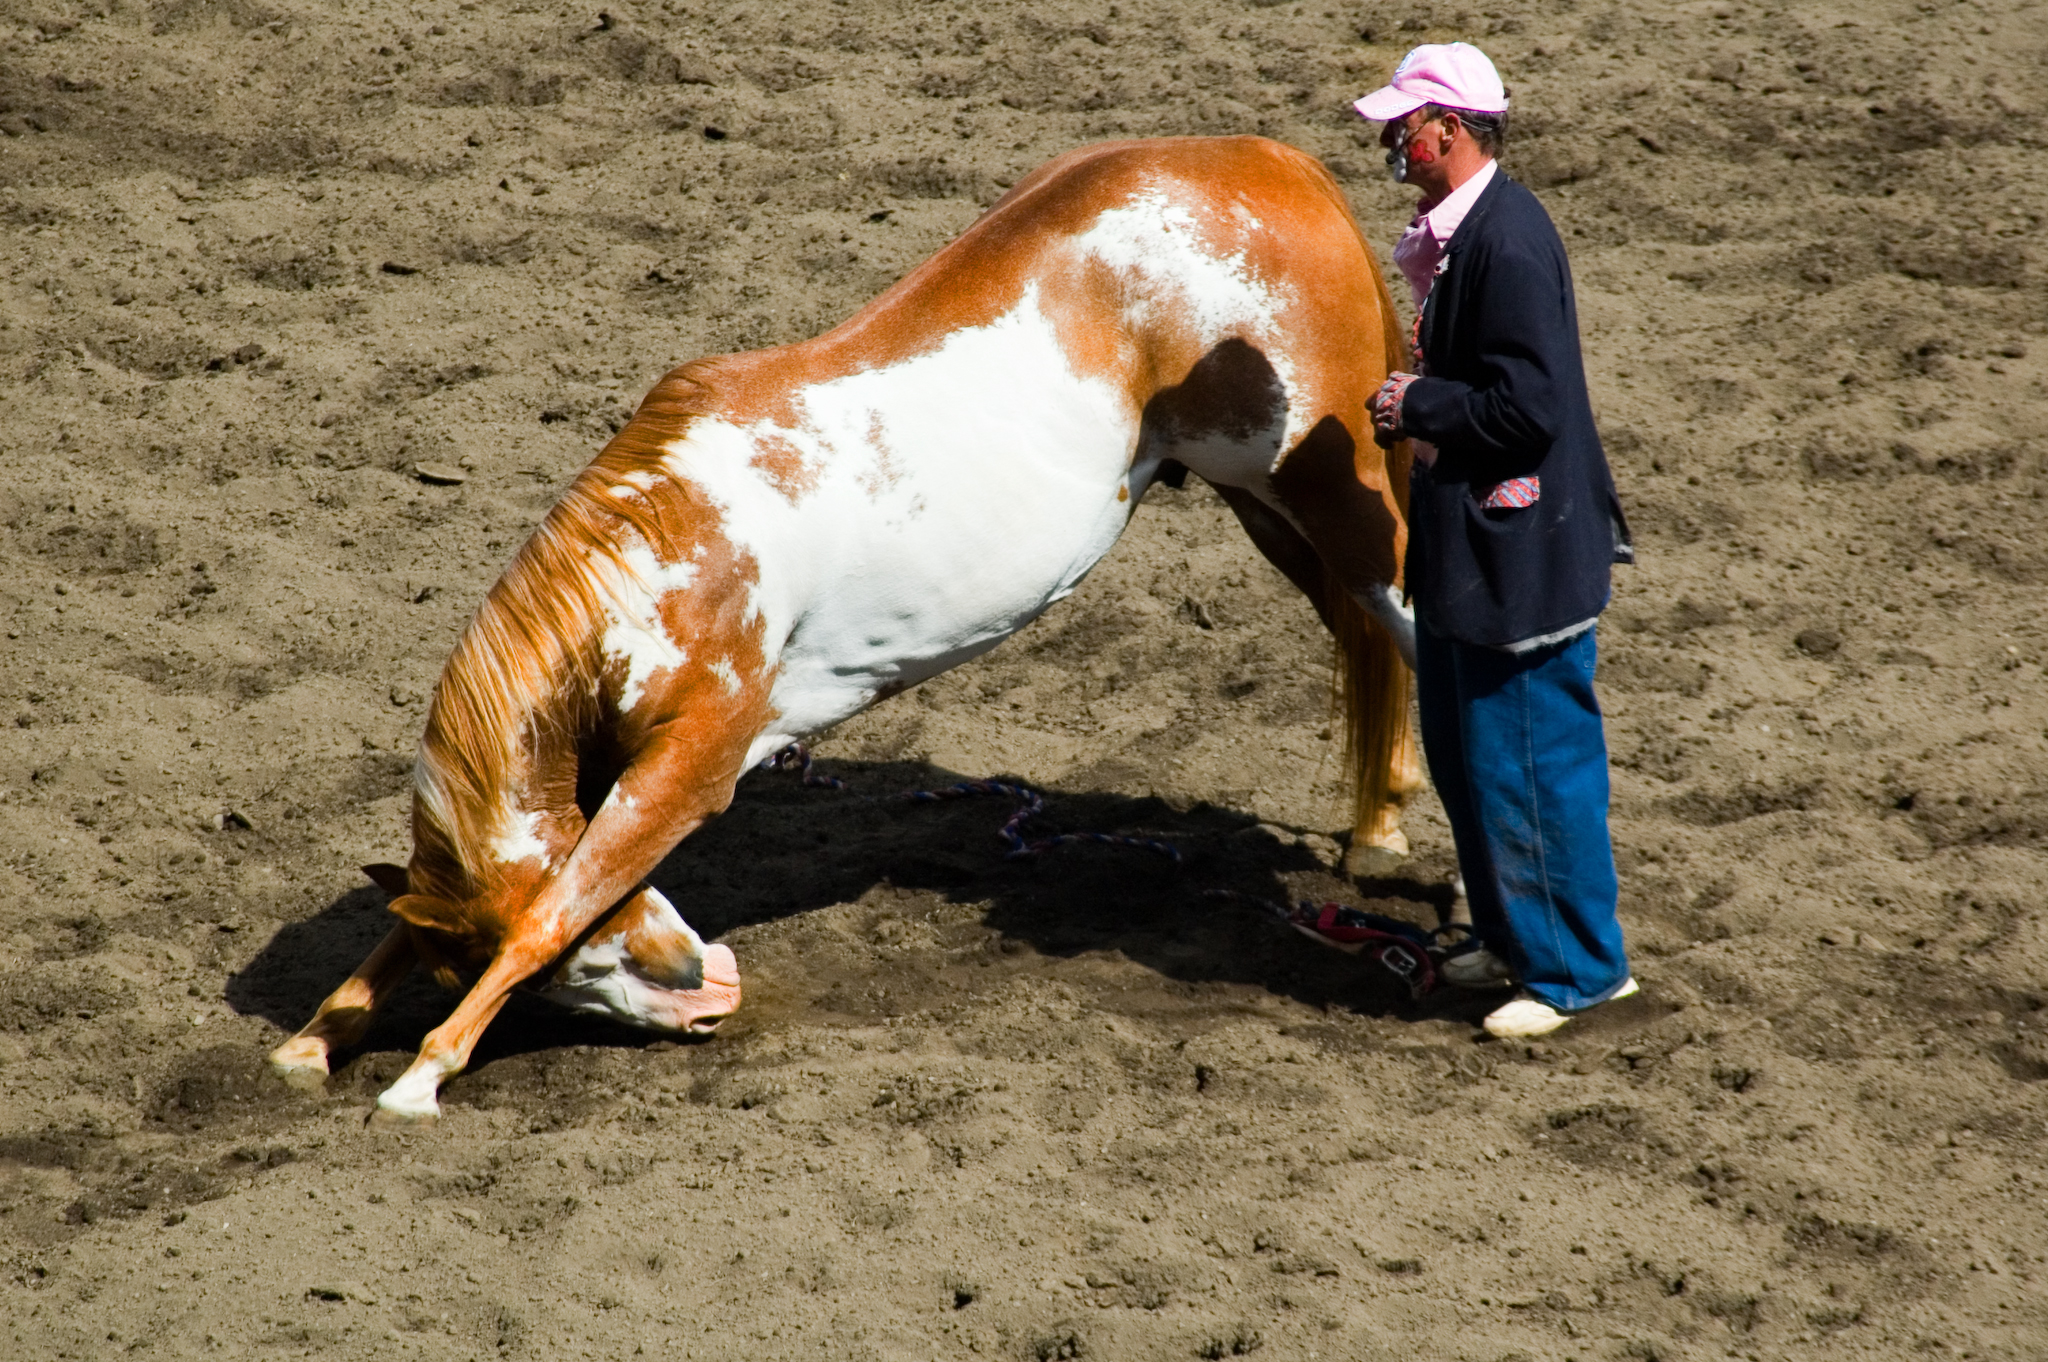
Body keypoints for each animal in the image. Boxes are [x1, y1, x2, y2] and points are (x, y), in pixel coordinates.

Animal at [268, 133, 1425, 1122]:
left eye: (573, 971)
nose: (707, 987)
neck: (669, 553)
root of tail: (1272, 164)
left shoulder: (690, 770)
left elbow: (559, 896)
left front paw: (420, 1075)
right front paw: (317, 1040)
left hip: (1332, 496)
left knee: (1405, 617)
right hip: (1266, 510)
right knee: (1364, 636)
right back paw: (1379, 822)